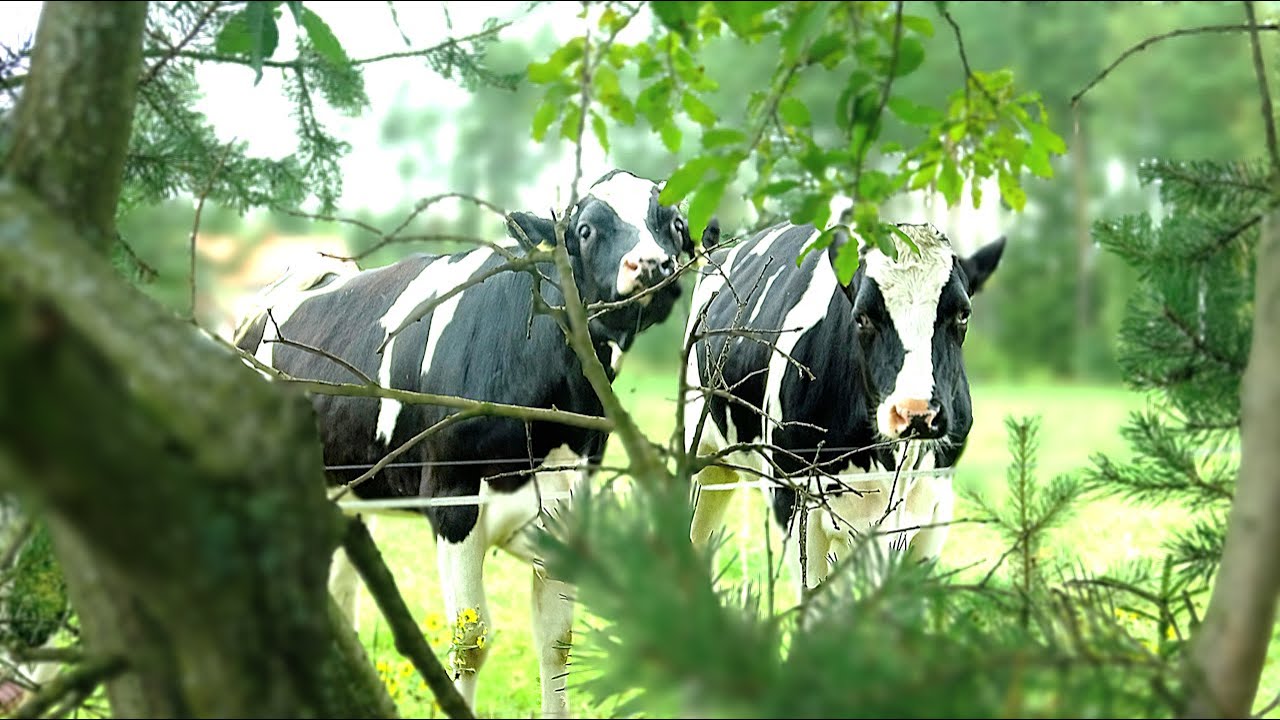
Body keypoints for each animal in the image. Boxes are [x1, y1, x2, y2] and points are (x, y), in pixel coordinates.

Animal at [233, 170, 701, 718]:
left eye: (675, 224)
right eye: (585, 230)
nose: (650, 264)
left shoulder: (565, 507)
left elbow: (557, 640)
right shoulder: (452, 501)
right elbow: (470, 640)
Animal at [682, 219, 1004, 597]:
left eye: (962, 314)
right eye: (862, 317)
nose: (915, 412)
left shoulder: (934, 511)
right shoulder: (795, 503)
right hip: (699, 456)